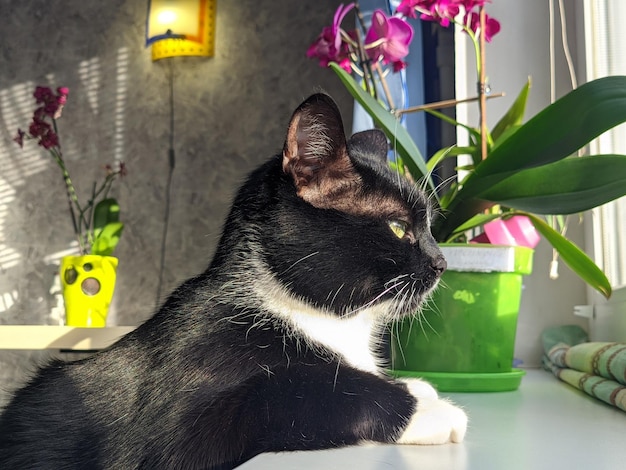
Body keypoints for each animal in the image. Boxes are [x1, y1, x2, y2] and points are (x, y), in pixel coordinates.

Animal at [0, 93, 466, 468]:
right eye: (398, 227)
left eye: (428, 225)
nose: (442, 262)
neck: (318, 319)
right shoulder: (186, 426)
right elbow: (303, 391)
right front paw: (427, 410)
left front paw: (415, 386)